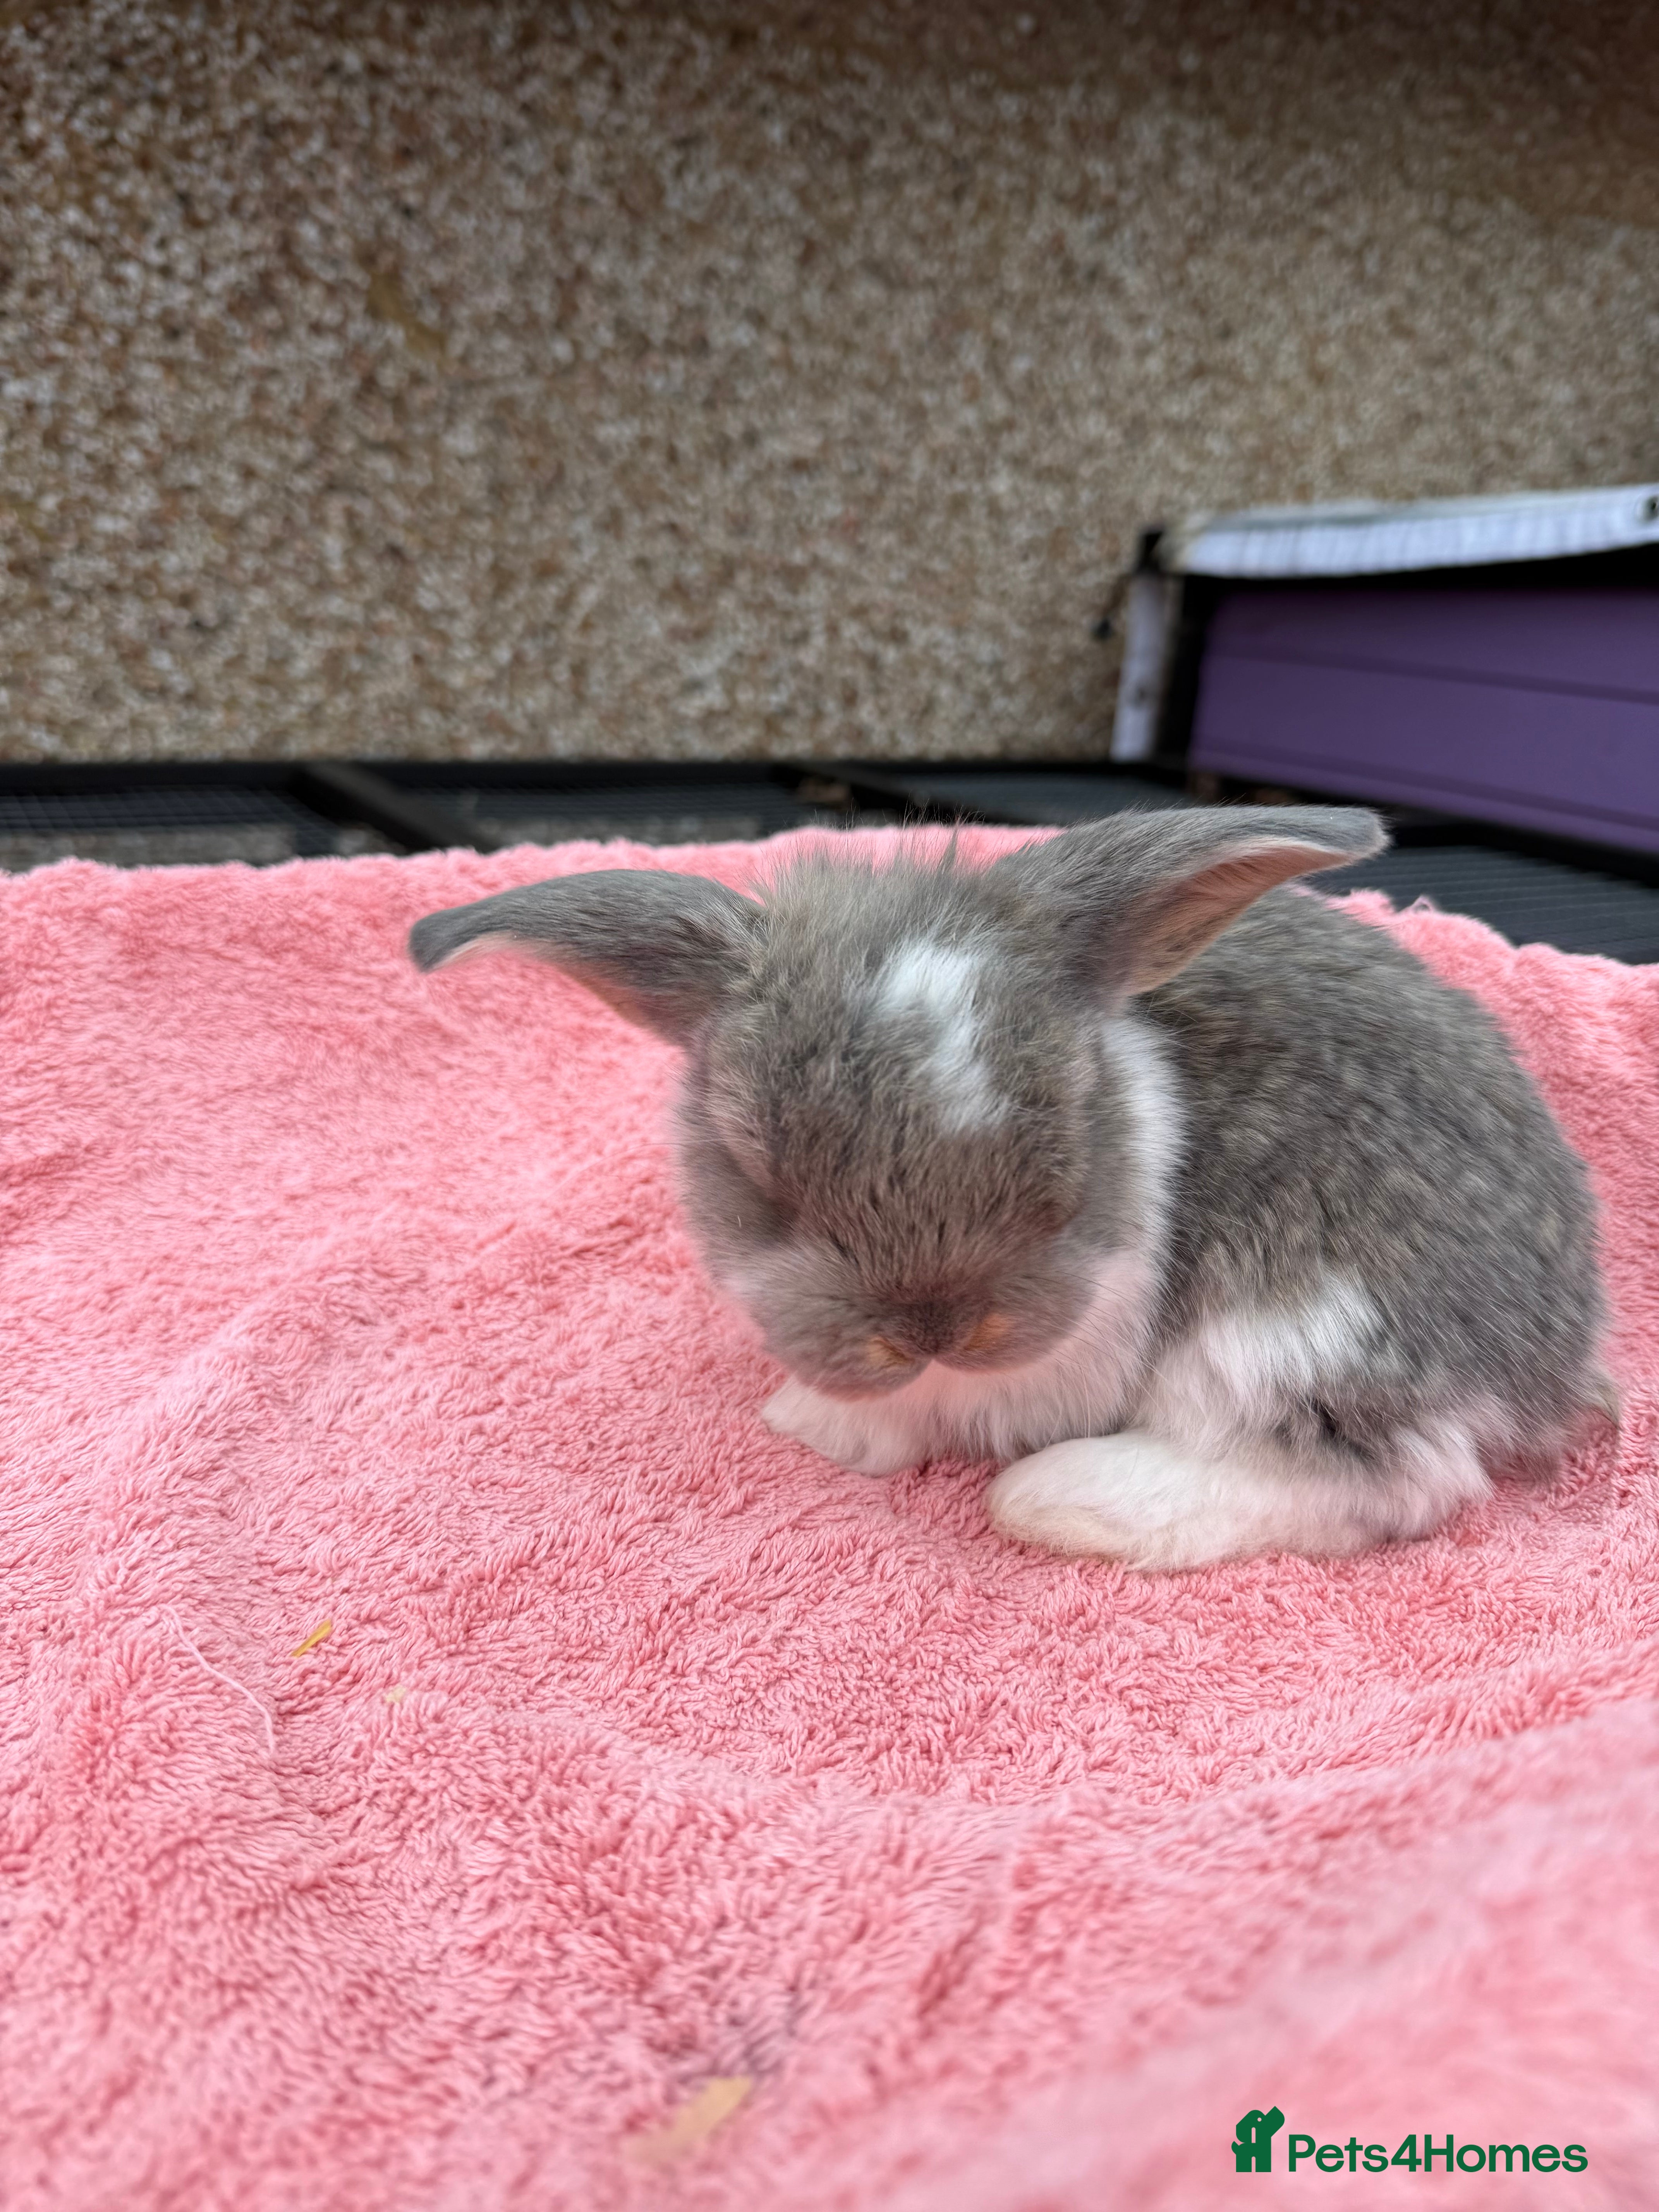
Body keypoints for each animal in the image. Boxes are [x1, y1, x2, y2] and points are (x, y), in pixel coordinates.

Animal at [408, 805, 1612, 1571]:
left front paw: (813, 1426)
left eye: (1071, 1134)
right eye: (756, 1167)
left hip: (1294, 1329)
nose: (932, 1329)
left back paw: (1057, 1502)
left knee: (1393, 1478)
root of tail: (1549, 1369)